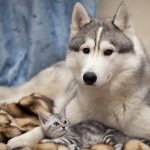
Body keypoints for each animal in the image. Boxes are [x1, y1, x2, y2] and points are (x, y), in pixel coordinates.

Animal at [5, 1, 150, 150]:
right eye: (86, 50)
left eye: (108, 51)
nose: (89, 77)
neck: (105, 98)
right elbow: (41, 127)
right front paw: (21, 139)